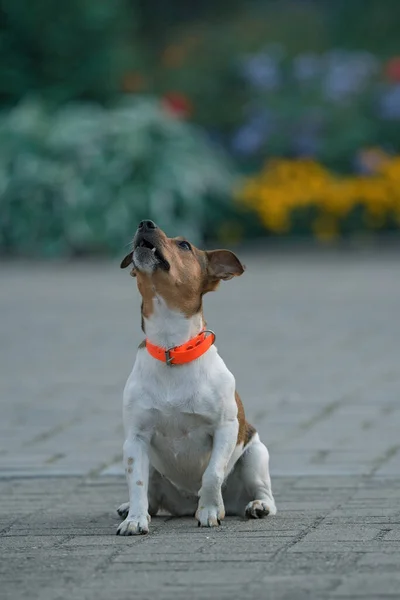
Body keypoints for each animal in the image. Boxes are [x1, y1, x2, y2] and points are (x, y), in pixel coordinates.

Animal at [117, 220, 276, 536]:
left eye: (184, 245)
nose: (145, 223)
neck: (172, 349)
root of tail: (184, 503)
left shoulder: (225, 429)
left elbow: (212, 474)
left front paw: (211, 510)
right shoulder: (136, 439)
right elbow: (136, 483)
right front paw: (135, 520)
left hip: (255, 456)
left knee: (264, 493)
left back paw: (257, 506)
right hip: (154, 470)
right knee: (151, 497)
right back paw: (134, 508)